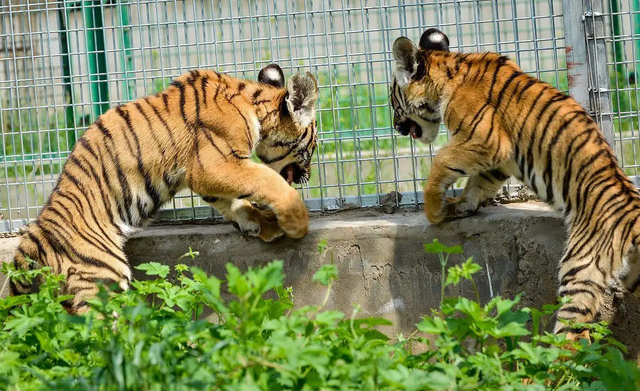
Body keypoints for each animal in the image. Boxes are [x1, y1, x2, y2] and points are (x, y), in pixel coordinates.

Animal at [10, 64, 320, 316]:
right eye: (314, 142)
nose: (308, 175)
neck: (254, 104)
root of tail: (32, 243)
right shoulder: (213, 164)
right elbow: (265, 180)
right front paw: (296, 222)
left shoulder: (207, 175)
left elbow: (233, 202)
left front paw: (265, 225)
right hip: (101, 279)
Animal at [388, 28, 640, 340]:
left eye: (392, 100)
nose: (395, 127)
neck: (449, 72)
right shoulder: (498, 158)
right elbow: (477, 184)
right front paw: (458, 207)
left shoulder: (487, 140)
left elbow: (442, 161)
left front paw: (435, 210)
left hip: (581, 267)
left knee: (574, 335)